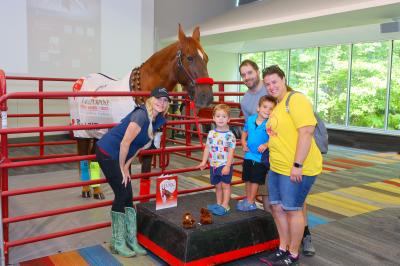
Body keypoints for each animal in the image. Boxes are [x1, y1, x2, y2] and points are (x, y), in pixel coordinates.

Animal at [69, 25, 214, 200]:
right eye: (190, 58)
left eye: (206, 58)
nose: (206, 97)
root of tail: (81, 81)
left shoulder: (151, 144)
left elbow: (145, 177)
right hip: (82, 132)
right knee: (83, 159)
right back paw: (86, 189)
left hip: (99, 132)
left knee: (93, 158)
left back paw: (97, 191)